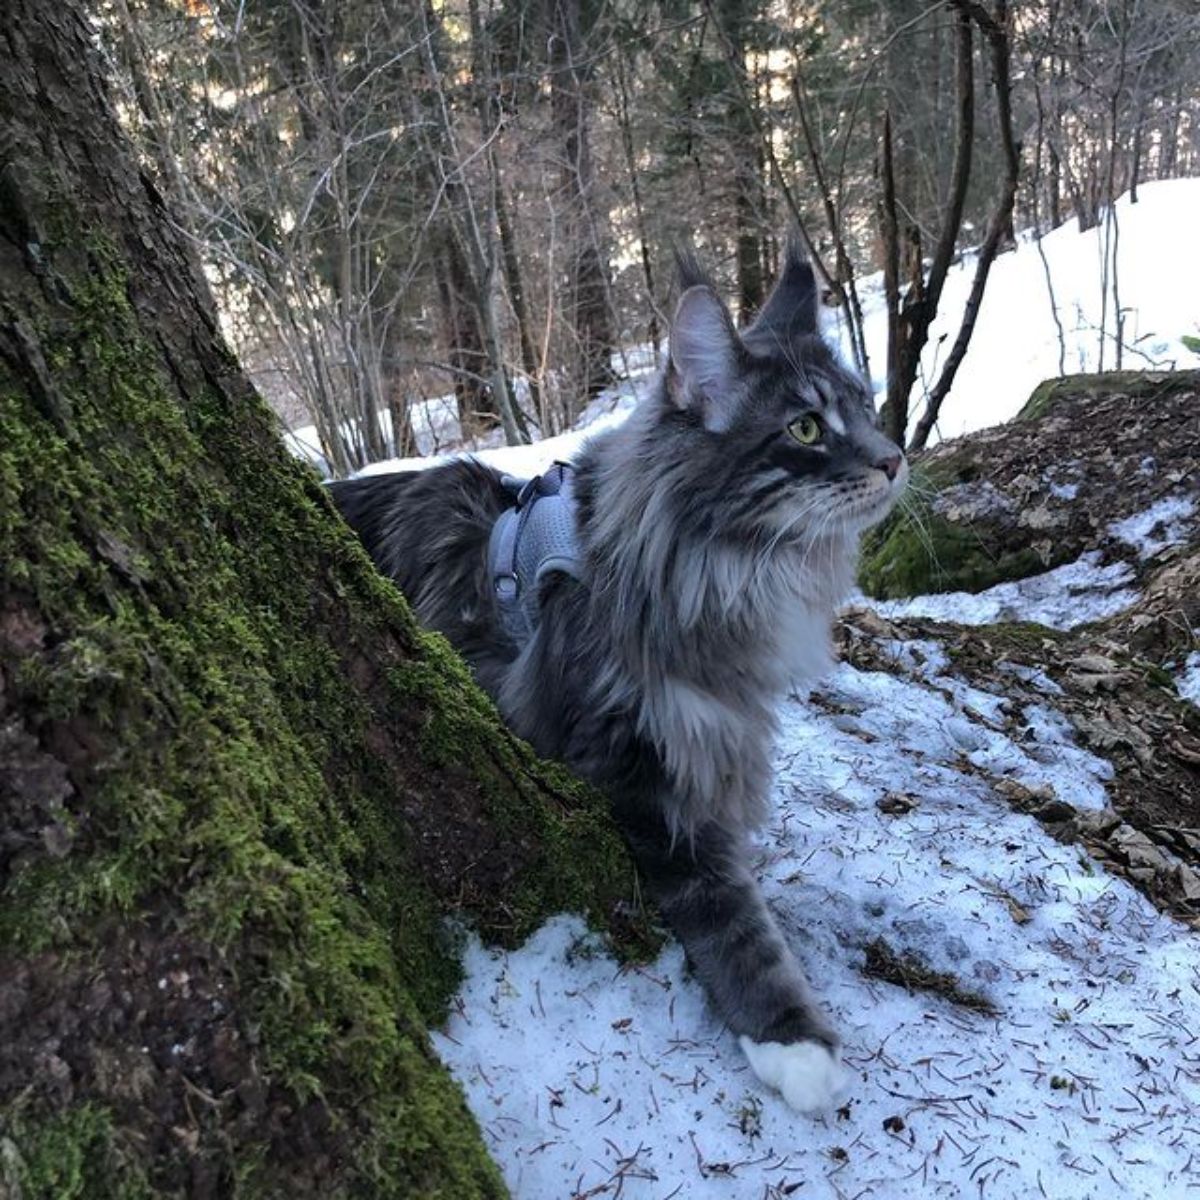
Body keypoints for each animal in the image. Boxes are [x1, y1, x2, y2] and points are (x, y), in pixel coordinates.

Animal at [331, 246, 907, 1113]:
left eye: (867, 408)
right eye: (806, 428)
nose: (895, 457)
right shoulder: (639, 774)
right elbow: (731, 916)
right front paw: (796, 1045)